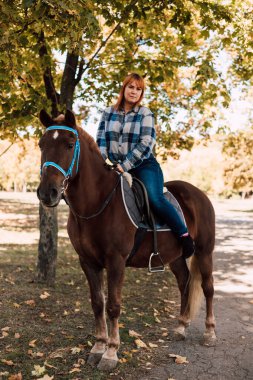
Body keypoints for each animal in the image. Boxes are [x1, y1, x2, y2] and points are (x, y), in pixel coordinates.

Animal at [37, 110, 215, 372]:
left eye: (70, 145)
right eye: (42, 145)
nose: (47, 193)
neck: (98, 202)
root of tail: (199, 194)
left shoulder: (116, 262)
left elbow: (113, 305)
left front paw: (111, 353)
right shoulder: (87, 262)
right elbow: (97, 303)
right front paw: (98, 347)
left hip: (204, 252)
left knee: (208, 287)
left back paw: (210, 333)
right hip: (175, 257)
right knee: (185, 282)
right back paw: (181, 326)